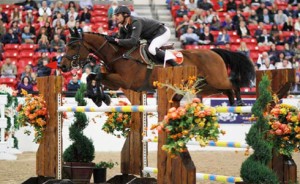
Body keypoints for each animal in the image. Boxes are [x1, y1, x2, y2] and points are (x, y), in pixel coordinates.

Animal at [60, 31, 255, 106]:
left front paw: (100, 98)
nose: (62, 66)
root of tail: (213, 51)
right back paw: (232, 103)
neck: (119, 54)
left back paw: (239, 102)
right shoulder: (116, 82)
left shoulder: (125, 81)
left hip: (215, 79)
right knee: (227, 89)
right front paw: (99, 97)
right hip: (207, 86)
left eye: (73, 46)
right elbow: (93, 76)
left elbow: (98, 76)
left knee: (233, 84)